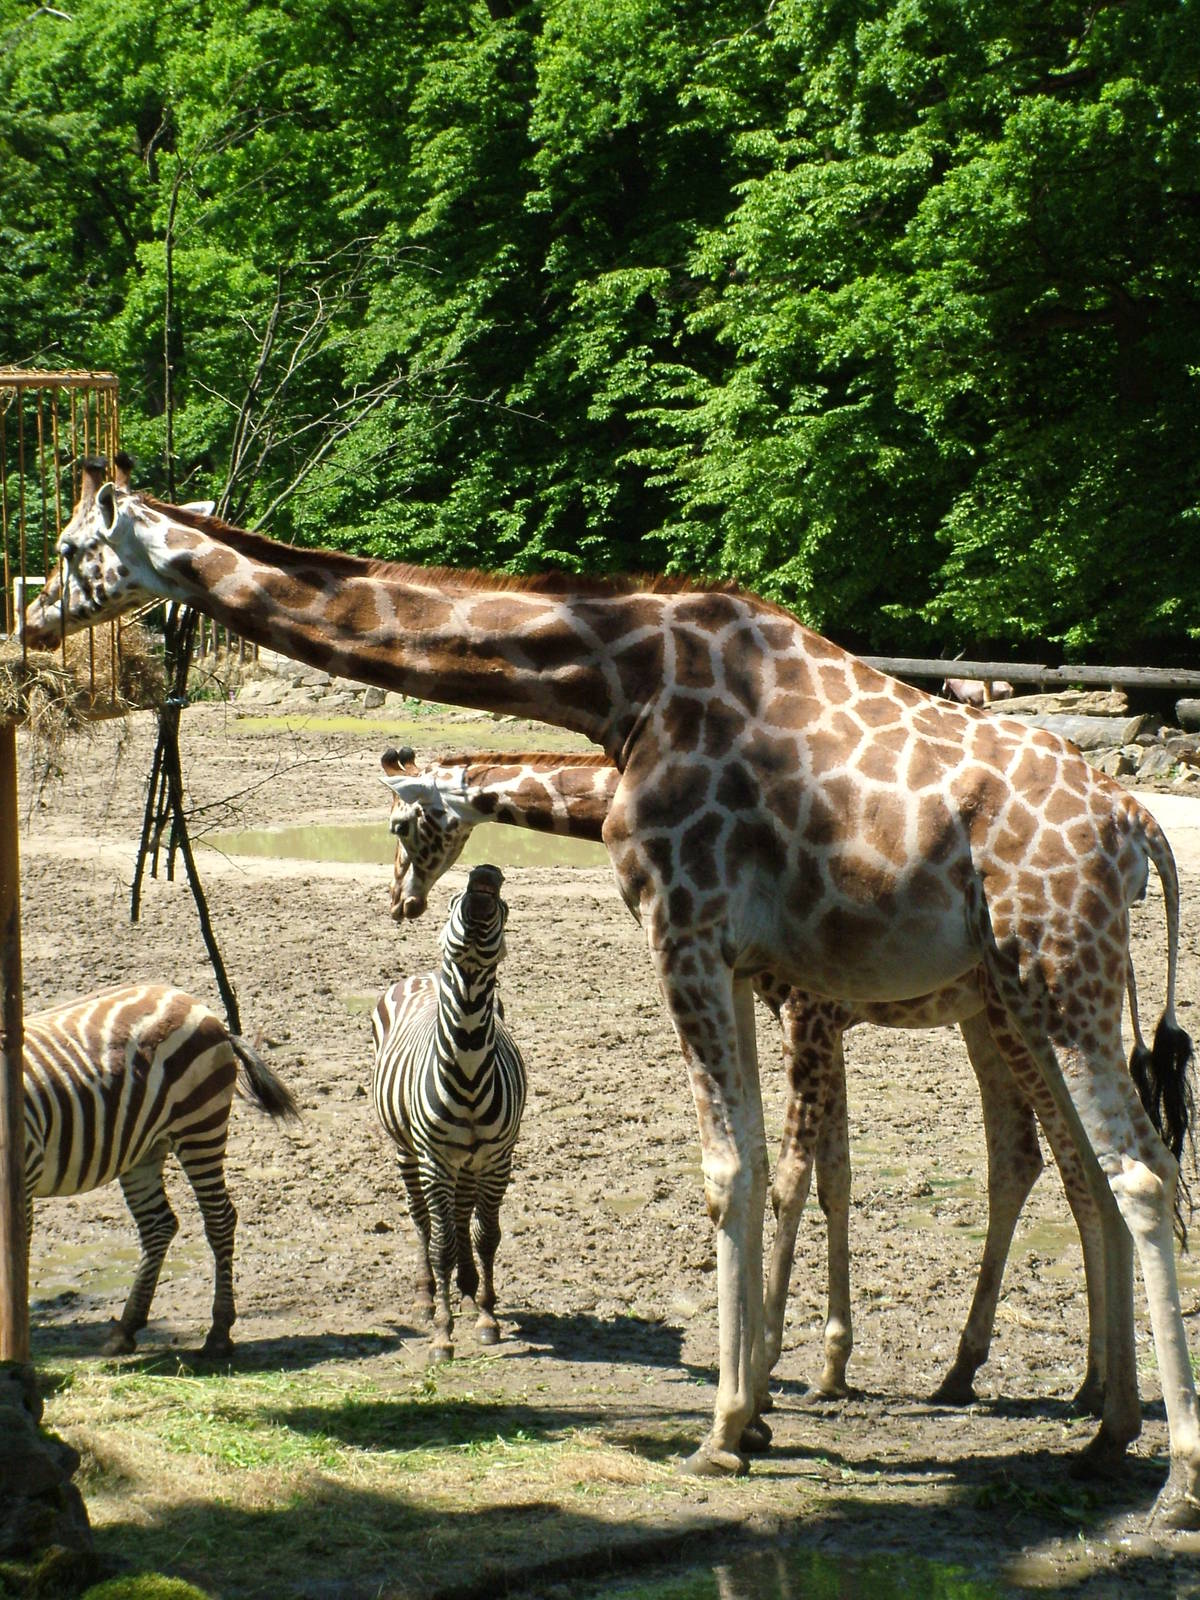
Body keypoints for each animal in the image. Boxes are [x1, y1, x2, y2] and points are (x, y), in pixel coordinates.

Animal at [24, 982, 300, 1356]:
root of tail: (192, 1002)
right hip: (142, 1149)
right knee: (159, 1224)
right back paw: (126, 1328)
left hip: (200, 1125)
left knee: (219, 1219)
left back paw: (218, 1332)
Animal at [371, 863, 526, 1359]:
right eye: (455, 898)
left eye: (505, 905)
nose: (486, 873)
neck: (470, 1061)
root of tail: (423, 976)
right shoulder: (435, 1161)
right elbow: (440, 1244)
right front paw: (442, 1332)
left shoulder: (497, 1159)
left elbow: (485, 1235)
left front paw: (486, 1315)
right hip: (407, 1152)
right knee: (422, 1220)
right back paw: (427, 1297)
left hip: (469, 1162)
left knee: (460, 1214)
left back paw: (467, 1285)